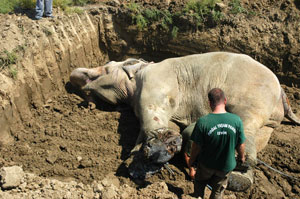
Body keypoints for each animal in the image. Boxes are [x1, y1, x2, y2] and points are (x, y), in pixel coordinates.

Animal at [69, 51, 298, 191]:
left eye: (107, 67)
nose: (87, 102)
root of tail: (282, 92)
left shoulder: (156, 80)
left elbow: (153, 109)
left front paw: (154, 152)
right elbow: (170, 125)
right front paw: (140, 158)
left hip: (254, 97)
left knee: (245, 129)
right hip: (269, 122)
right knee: (258, 140)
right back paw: (237, 178)